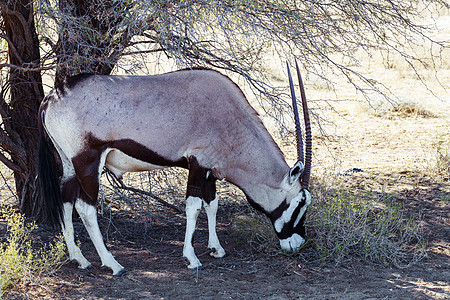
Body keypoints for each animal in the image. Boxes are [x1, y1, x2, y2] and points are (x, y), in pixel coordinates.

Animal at [37, 60, 312, 274]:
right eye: (300, 202)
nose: (298, 244)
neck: (232, 121)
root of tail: (51, 98)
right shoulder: (198, 163)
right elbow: (193, 207)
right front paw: (192, 258)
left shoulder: (210, 170)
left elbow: (212, 204)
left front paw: (216, 248)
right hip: (88, 161)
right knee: (86, 207)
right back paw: (113, 264)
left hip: (69, 163)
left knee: (66, 199)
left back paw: (79, 259)